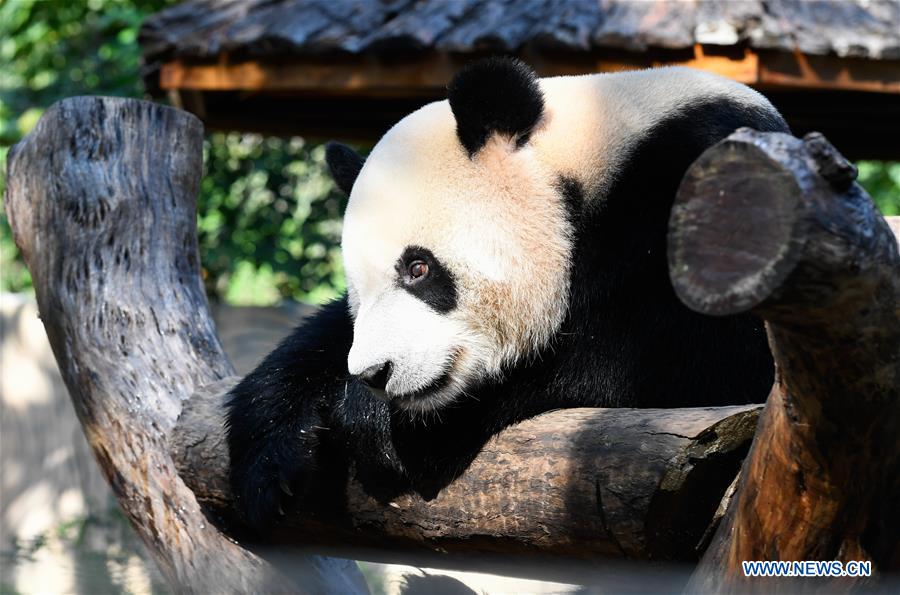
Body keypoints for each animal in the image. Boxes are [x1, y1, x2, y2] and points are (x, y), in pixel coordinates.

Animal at [226, 57, 785, 529]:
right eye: (357, 291)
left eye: (418, 268)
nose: (374, 374)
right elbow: (316, 342)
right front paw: (270, 461)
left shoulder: (710, 191)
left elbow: (679, 360)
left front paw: (382, 426)